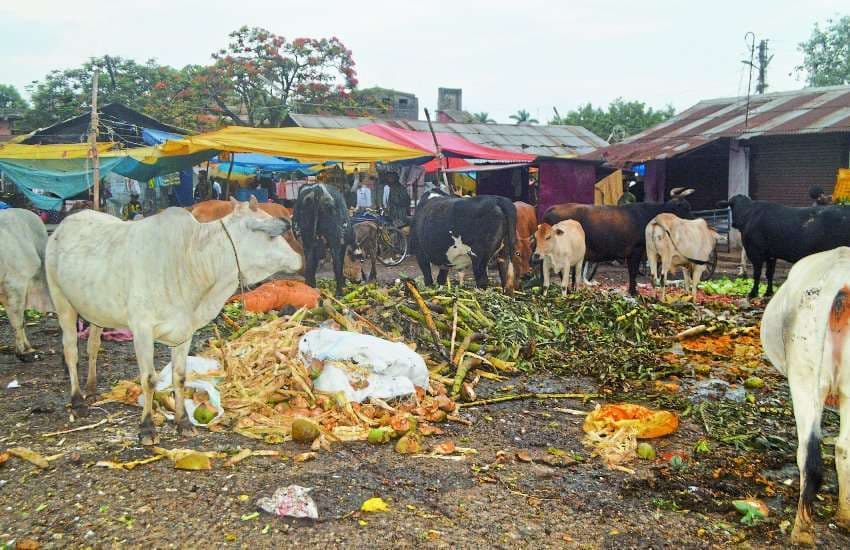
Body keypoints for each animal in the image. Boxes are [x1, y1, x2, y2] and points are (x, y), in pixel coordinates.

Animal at [46, 196, 304, 446]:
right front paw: (147, 428)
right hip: (62, 303)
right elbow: (149, 380)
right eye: (271, 235)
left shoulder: (184, 332)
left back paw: (91, 389)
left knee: (93, 347)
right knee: (71, 352)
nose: (300, 259)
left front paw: (183, 422)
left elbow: (179, 377)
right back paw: (78, 401)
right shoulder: (142, 330)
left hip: (95, 312)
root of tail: (68, 221)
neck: (189, 261)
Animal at [540, 188, 692, 296]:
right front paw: (633, 292)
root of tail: (551, 209)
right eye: (683, 207)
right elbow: (633, 271)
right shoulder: (637, 249)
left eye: (687, 206)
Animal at [720, 195, 850, 300]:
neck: (749, 214)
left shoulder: (755, 252)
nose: (734, 224)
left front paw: (753, 293)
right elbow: (769, 273)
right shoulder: (771, 255)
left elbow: (757, 274)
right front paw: (768, 292)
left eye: (732, 206)